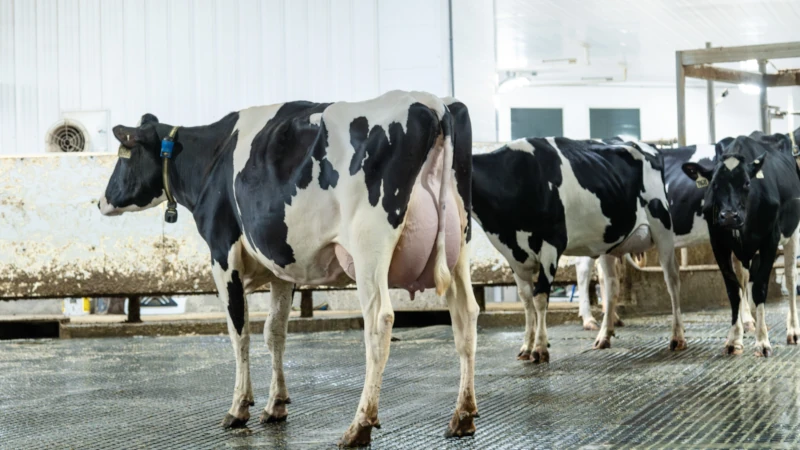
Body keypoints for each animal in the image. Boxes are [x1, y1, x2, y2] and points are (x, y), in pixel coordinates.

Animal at [98, 90, 479, 446]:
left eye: (123, 155)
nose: (101, 201)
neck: (212, 158)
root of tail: (431, 103)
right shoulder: (283, 267)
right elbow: (275, 332)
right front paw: (275, 405)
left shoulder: (222, 253)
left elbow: (240, 331)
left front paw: (239, 408)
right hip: (458, 245)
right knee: (465, 316)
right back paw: (462, 416)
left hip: (370, 246)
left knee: (379, 322)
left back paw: (360, 425)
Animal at [471, 137, 685, 362]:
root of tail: (644, 144)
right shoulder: (514, 257)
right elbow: (526, 300)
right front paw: (526, 347)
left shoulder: (551, 246)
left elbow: (540, 297)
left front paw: (540, 348)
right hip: (611, 243)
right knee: (611, 285)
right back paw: (604, 336)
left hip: (663, 229)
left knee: (672, 280)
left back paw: (677, 337)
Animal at [574, 143, 756, 333]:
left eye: (746, 183)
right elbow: (741, 276)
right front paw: (747, 319)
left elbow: (743, 275)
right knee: (583, 268)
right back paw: (588, 318)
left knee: (603, 273)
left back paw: (613, 317)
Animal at [682, 132, 800, 356]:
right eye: (714, 184)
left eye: (746, 183)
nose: (729, 216)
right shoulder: (718, 242)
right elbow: (733, 289)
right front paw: (734, 339)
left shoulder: (770, 240)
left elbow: (760, 287)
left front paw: (762, 341)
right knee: (745, 277)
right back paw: (748, 320)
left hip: (793, 233)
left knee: (790, 277)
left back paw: (793, 331)